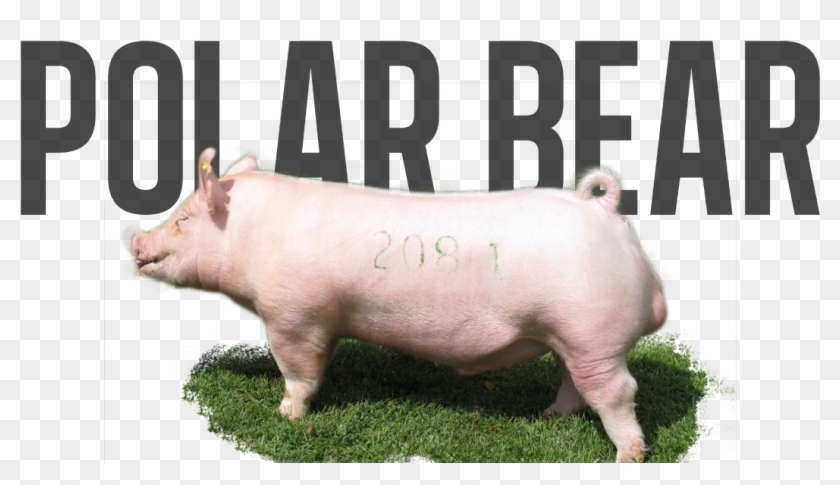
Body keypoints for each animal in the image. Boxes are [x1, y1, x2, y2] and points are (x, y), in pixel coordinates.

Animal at [133, 148, 667, 463]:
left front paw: (287, 415)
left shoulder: (294, 315)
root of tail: (602, 209)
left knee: (616, 390)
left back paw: (627, 457)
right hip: (568, 336)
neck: (253, 237)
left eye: (184, 218)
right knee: (573, 381)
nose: (135, 240)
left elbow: (298, 371)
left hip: (592, 332)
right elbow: (321, 364)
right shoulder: (326, 321)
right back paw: (549, 416)